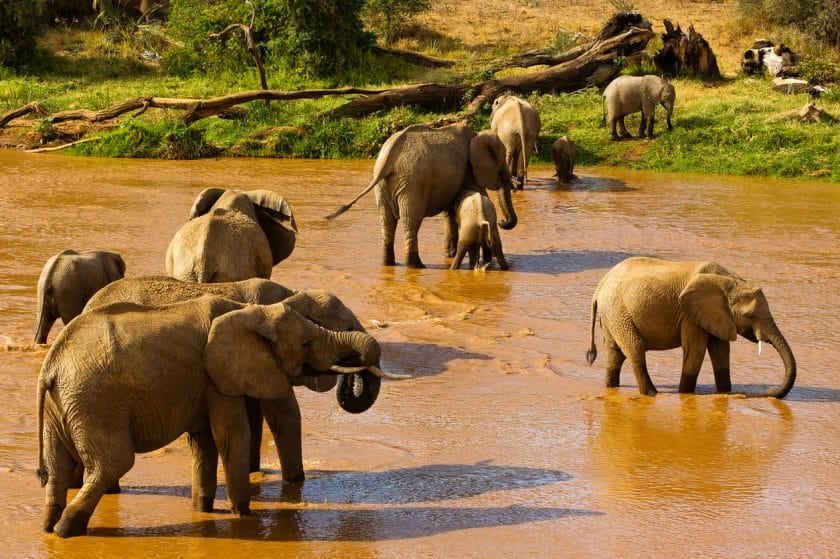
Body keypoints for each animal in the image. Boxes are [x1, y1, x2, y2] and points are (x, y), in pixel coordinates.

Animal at [38, 298, 394, 540]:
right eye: (305, 343)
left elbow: (204, 443)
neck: (249, 311)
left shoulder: (204, 382)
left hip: (64, 407)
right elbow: (232, 436)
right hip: (94, 402)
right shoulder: (218, 377)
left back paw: (49, 528)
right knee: (113, 462)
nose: (350, 372)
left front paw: (203, 510)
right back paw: (67, 530)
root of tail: (51, 366)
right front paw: (243, 515)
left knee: (59, 467)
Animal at [328, 123, 520, 272]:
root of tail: (389, 155)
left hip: (383, 184)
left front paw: (449, 255)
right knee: (411, 221)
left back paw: (388, 264)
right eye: (502, 164)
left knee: (387, 220)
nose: (503, 221)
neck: (477, 134)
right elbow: (478, 196)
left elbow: (450, 212)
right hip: (412, 183)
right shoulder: (469, 171)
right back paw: (416, 266)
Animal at [584, 258, 796, 398]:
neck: (730, 281)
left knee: (615, 353)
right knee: (635, 348)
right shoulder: (690, 315)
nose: (768, 391)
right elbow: (695, 350)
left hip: (613, 315)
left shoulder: (717, 315)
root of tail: (599, 288)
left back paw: (612, 388)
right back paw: (653, 395)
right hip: (618, 312)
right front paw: (685, 394)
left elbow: (721, 350)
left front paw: (725, 392)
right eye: (750, 316)